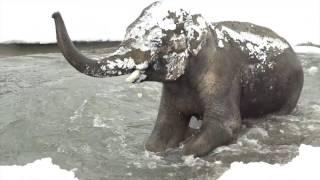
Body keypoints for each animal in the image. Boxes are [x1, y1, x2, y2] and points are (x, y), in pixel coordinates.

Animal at [52, 1, 302, 156]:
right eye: (127, 30)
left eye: (156, 42)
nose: (54, 13)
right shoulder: (174, 87)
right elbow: (163, 130)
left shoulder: (221, 75)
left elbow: (225, 124)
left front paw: (187, 145)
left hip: (291, 91)